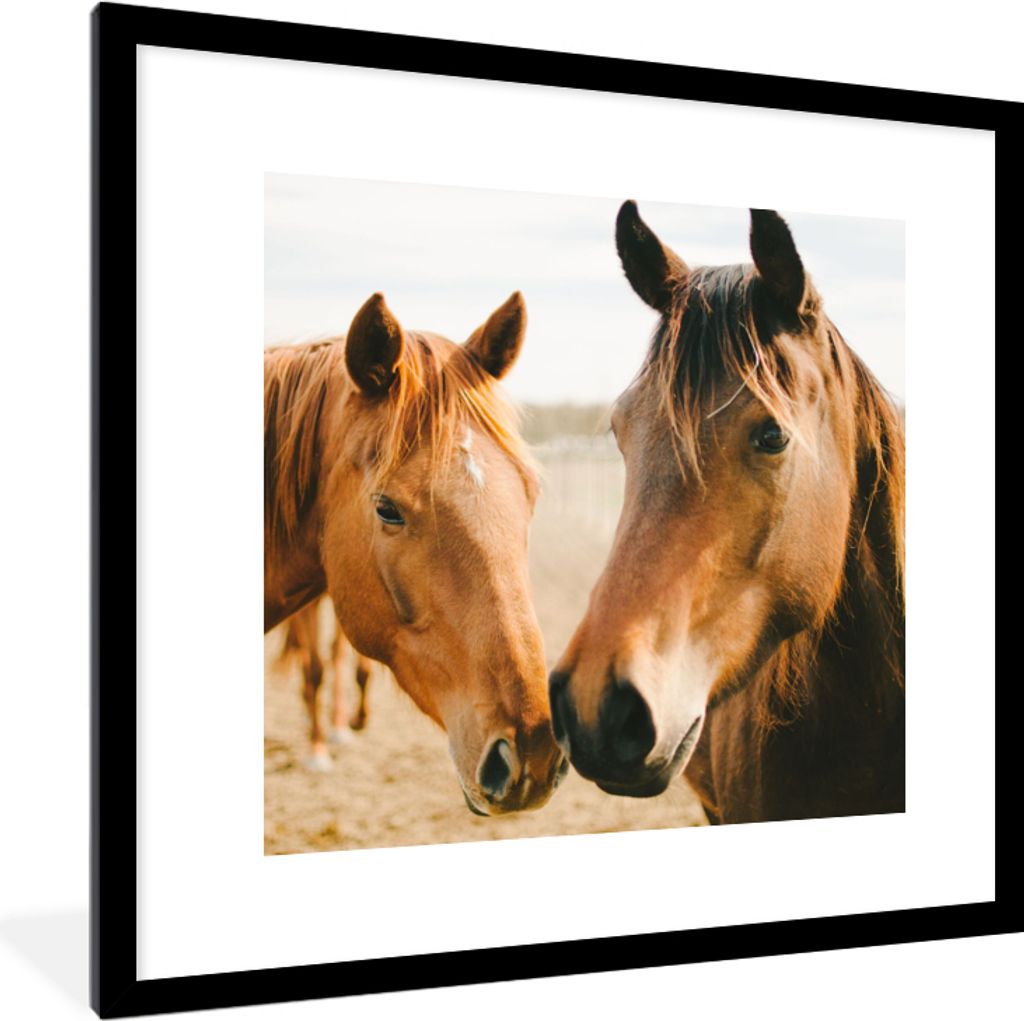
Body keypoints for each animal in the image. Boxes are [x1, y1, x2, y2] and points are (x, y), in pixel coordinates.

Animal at [273, 595, 375, 771]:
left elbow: (363, 670)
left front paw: (358, 720)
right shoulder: (305, 607)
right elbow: (315, 672)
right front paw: (317, 751)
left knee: (336, 653)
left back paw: (339, 724)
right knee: (305, 657)